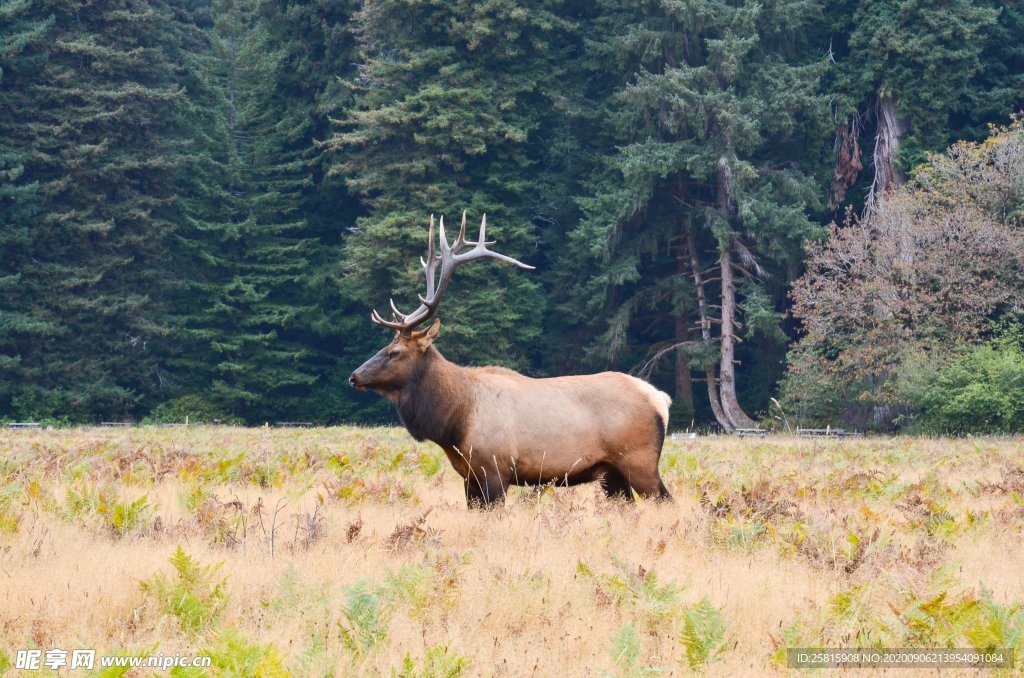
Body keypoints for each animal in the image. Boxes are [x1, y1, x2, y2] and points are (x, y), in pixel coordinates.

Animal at [348, 215, 675, 507]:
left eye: (394, 352)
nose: (354, 376)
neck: (456, 421)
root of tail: (660, 398)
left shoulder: (495, 469)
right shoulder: (469, 477)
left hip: (640, 460)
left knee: (666, 501)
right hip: (611, 473)